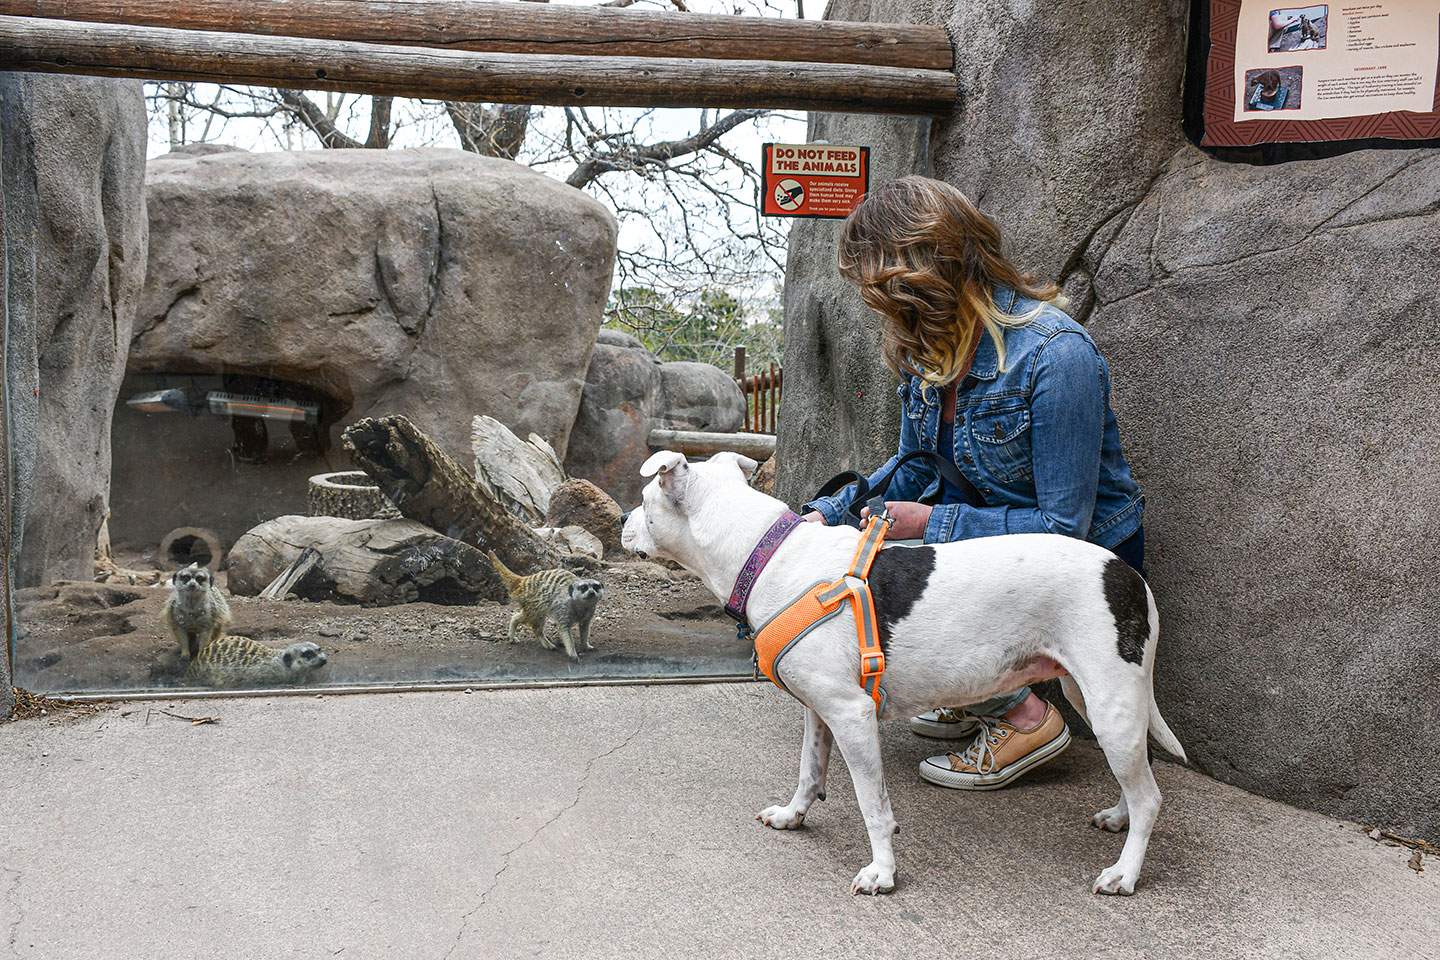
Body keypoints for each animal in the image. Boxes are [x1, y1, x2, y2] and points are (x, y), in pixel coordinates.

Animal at [624, 451, 1186, 903]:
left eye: (645, 498)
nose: (624, 521)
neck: (765, 557)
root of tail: (1128, 574)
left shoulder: (852, 715)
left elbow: (873, 805)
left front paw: (882, 872)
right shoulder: (819, 709)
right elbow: (809, 770)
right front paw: (793, 814)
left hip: (1110, 701)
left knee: (1151, 797)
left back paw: (1124, 873)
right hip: (1093, 696)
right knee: (1138, 775)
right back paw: (1118, 816)